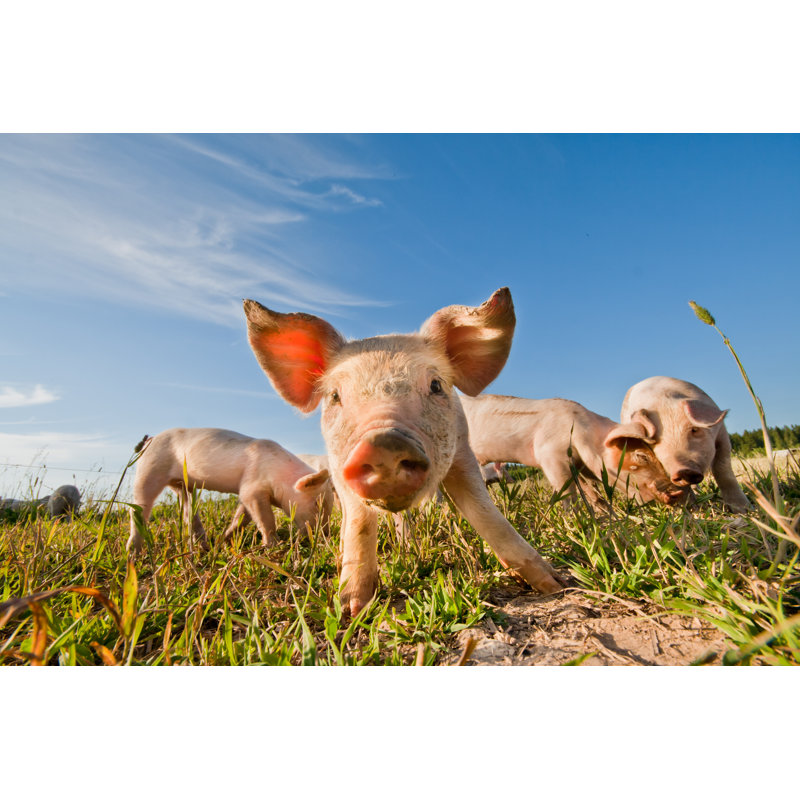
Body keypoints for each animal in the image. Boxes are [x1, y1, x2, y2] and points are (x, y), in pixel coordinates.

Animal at [126, 428, 333, 554]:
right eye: (317, 503)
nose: (326, 534)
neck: (280, 476)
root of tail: (151, 439)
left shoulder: (247, 492)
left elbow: (242, 516)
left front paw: (224, 540)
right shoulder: (252, 486)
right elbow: (265, 518)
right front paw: (273, 545)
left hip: (183, 485)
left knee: (188, 510)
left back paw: (205, 545)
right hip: (149, 468)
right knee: (139, 507)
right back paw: (133, 552)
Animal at [243, 287, 563, 615]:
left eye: (435, 385)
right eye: (334, 396)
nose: (382, 443)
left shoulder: (462, 451)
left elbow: (485, 512)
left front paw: (554, 585)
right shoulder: (338, 468)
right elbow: (359, 522)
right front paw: (352, 609)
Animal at [461, 394, 688, 510]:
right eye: (641, 456)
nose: (678, 493)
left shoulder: (578, 466)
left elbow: (593, 494)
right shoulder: (550, 456)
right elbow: (568, 493)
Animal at [620, 376, 751, 512]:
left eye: (694, 429)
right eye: (655, 442)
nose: (683, 470)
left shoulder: (722, 433)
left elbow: (723, 469)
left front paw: (744, 510)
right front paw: (691, 509)